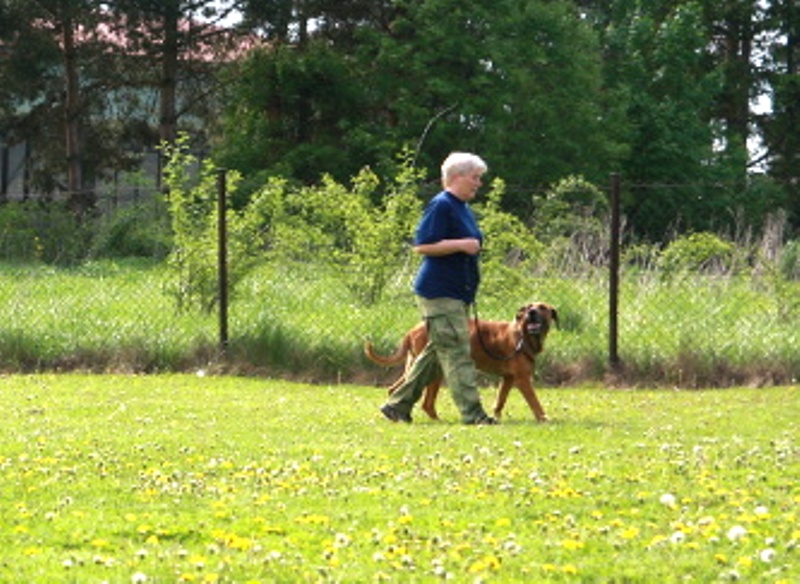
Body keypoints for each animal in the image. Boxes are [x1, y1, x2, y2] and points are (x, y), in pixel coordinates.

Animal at [364, 304, 556, 422]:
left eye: (542, 307)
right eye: (529, 307)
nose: (531, 313)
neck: (523, 335)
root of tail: (412, 330)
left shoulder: (507, 379)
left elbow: (500, 401)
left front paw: (497, 417)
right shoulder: (522, 379)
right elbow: (535, 402)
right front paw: (544, 419)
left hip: (414, 367)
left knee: (396, 389)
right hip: (435, 372)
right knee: (426, 403)